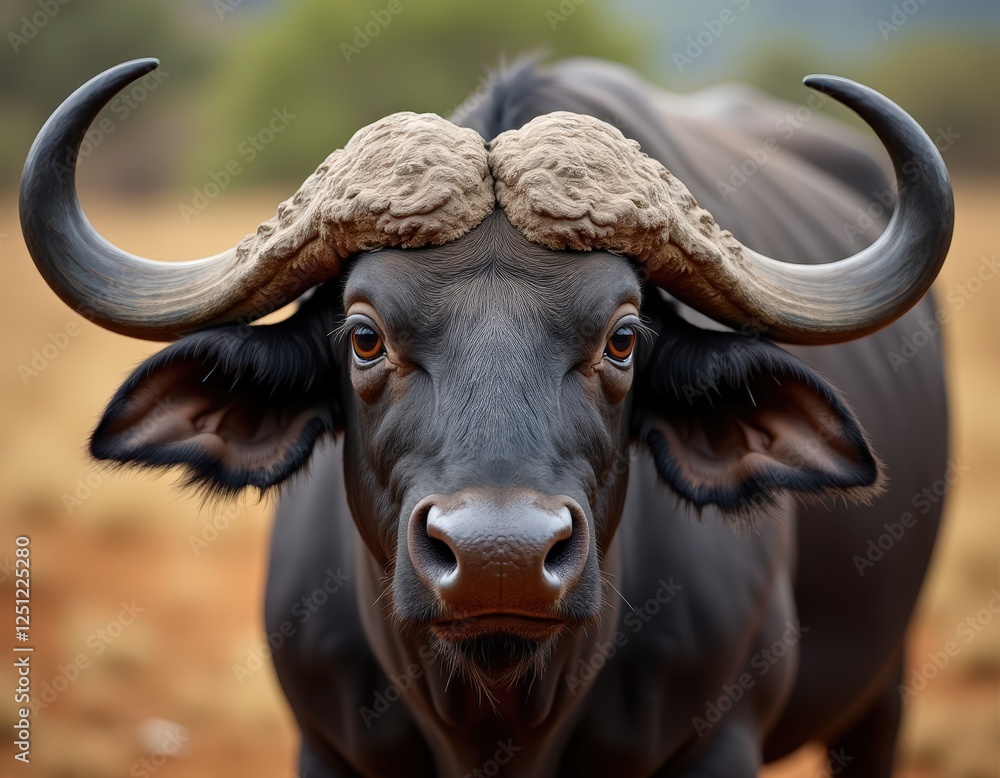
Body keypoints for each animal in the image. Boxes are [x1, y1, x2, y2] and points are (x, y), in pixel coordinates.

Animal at [20, 56, 953, 777]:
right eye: (365, 337)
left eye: (622, 338)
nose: (497, 558)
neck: (499, 715)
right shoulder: (325, 746)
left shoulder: (722, 739)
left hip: (883, 688)